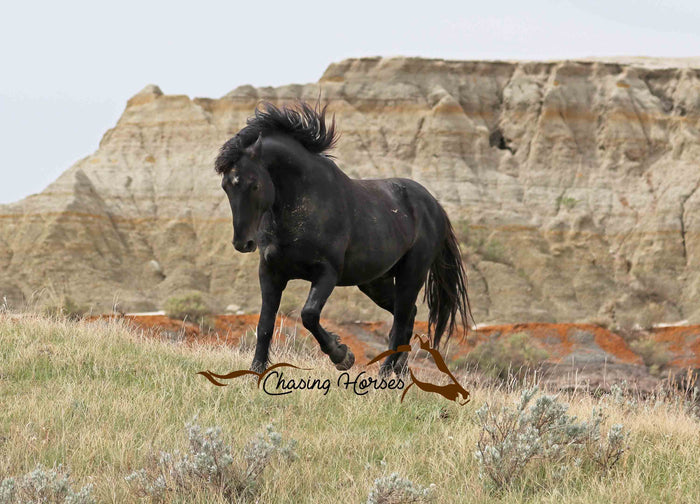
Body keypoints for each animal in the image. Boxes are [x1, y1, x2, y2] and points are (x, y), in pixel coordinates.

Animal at [215, 101, 472, 376]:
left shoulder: (327, 273)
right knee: (407, 315)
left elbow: (309, 314)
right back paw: (399, 368)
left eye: (253, 184)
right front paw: (256, 372)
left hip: (411, 276)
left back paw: (384, 374)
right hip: (375, 283)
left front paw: (342, 355)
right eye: (226, 186)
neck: (307, 203)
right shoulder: (271, 273)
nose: (243, 243)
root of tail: (434, 205)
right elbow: (265, 324)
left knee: (401, 321)